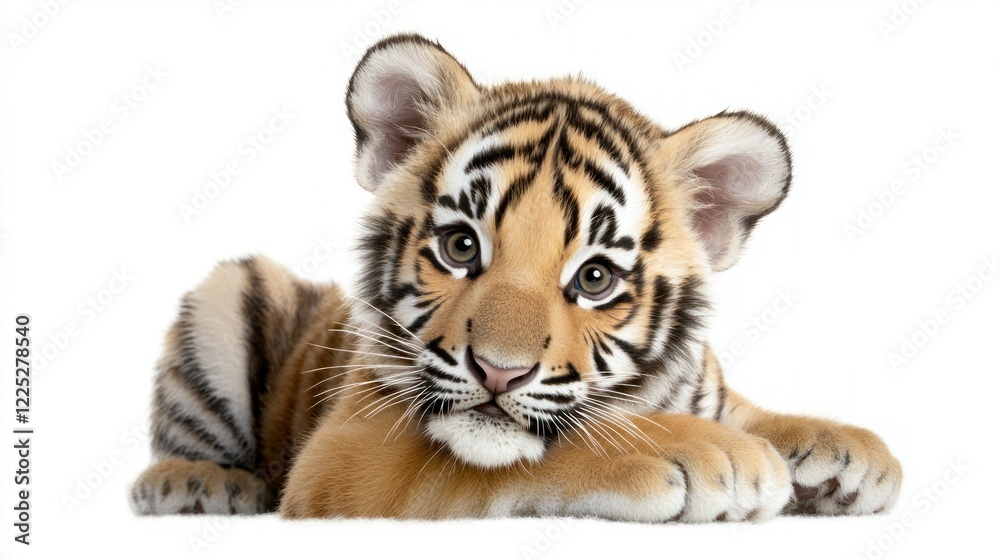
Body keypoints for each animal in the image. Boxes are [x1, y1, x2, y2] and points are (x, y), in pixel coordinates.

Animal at [129, 34, 901, 522]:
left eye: (595, 278)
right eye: (459, 246)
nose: (499, 372)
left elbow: (750, 411)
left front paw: (851, 453)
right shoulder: (344, 453)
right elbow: (548, 450)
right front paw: (707, 453)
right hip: (228, 294)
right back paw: (200, 484)